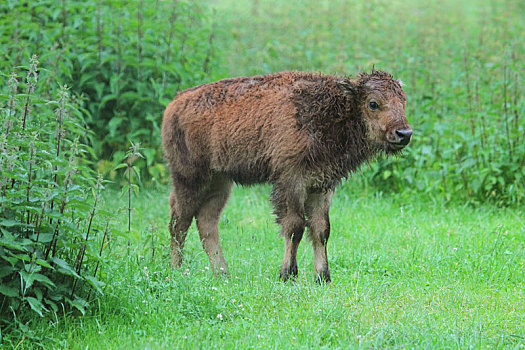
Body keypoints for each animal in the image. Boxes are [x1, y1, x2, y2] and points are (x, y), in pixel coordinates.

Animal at [162, 69, 412, 284]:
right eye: (373, 103)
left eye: (404, 100)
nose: (404, 133)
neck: (333, 109)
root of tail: (174, 105)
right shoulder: (291, 181)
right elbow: (295, 227)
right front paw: (288, 274)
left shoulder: (322, 185)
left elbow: (321, 230)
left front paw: (323, 277)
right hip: (189, 178)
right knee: (179, 221)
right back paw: (177, 270)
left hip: (220, 182)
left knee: (206, 222)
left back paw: (222, 273)